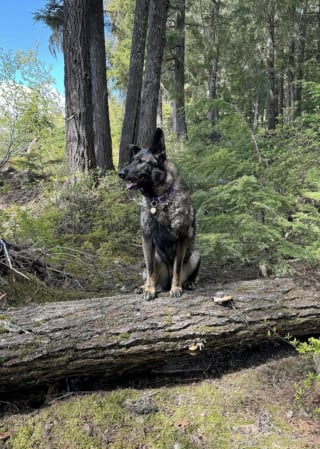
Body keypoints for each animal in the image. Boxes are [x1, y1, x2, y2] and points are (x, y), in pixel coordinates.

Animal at [119, 128, 200, 300]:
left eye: (141, 161)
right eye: (132, 160)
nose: (120, 173)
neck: (159, 199)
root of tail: (165, 283)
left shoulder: (182, 238)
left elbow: (177, 267)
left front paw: (176, 288)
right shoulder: (147, 238)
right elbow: (151, 269)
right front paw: (149, 289)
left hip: (195, 254)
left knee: (190, 275)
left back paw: (188, 283)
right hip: (152, 257)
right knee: (149, 273)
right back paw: (143, 287)